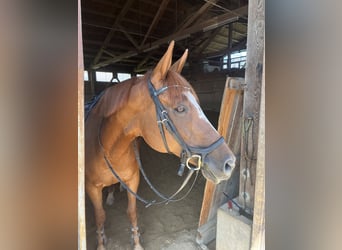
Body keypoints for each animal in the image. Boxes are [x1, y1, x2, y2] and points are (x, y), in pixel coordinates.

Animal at [85, 40, 235, 249]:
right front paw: (101, 243)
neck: (110, 148)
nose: (230, 163)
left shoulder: (134, 180)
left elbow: (132, 212)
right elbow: (100, 217)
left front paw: (136, 242)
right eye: (180, 109)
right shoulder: (91, 188)